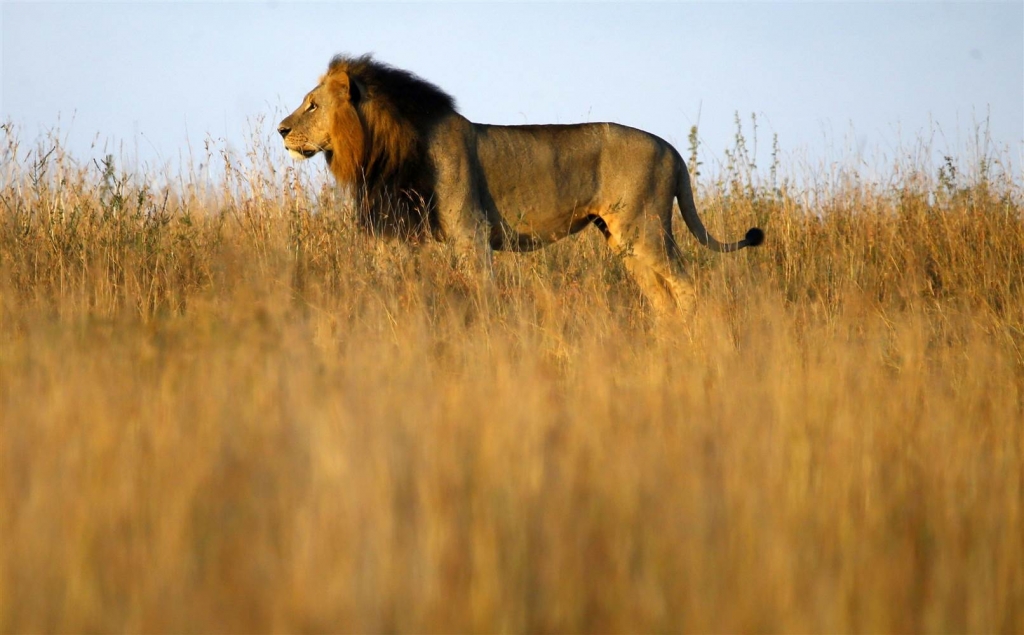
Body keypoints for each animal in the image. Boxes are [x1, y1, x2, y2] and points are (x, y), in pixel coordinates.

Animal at [276, 53, 765, 311]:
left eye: (313, 105)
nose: (280, 130)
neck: (381, 146)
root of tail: (672, 149)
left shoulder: (470, 232)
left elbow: (483, 290)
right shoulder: (399, 230)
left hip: (645, 230)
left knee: (688, 287)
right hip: (623, 239)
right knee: (662, 298)